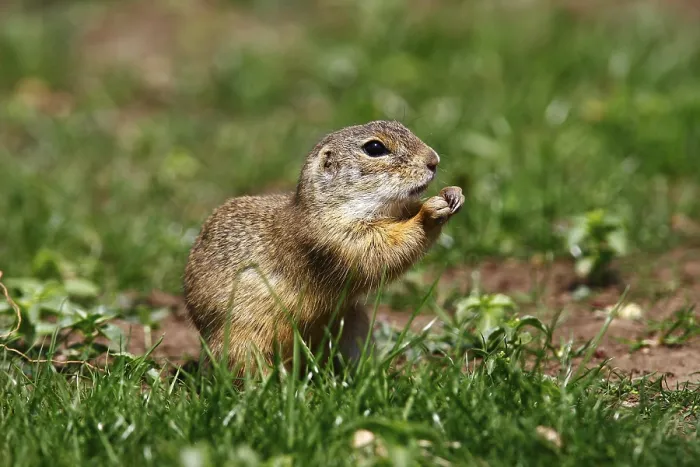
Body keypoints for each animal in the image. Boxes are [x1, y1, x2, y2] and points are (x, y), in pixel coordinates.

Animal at [183, 120, 464, 376]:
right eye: (374, 148)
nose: (434, 160)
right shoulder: (336, 239)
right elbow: (381, 251)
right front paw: (429, 212)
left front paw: (453, 193)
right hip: (243, 342)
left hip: (353, 324)